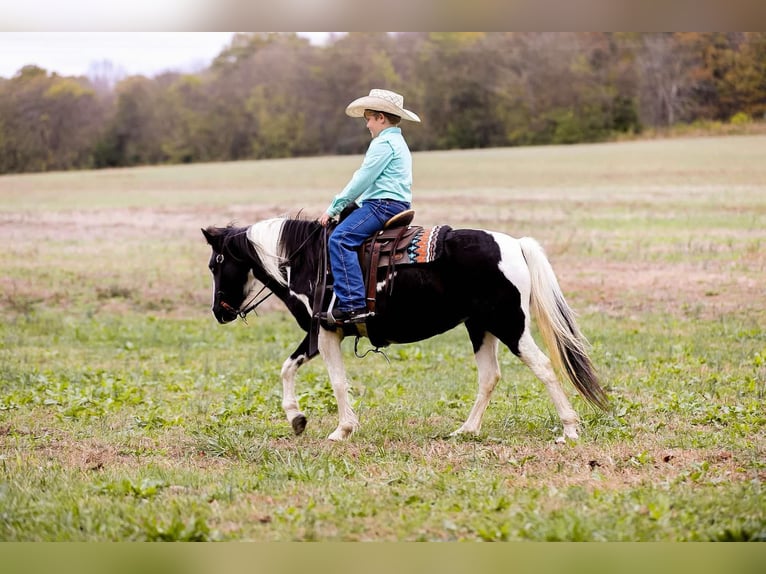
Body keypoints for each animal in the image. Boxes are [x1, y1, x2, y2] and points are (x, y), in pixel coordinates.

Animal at [204, 216, 612, 446]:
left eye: (215, 264)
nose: (218, 312)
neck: (306, 259)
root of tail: (513, 245)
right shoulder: (319, 334)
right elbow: (288, 368)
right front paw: (297, 418)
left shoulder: (327, 331)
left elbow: (336, 382)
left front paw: (341, 430)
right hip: (480, 326)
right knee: (489, 376)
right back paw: (466, 430)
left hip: (510, 325)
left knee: (543, 367)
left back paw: (569, 429)